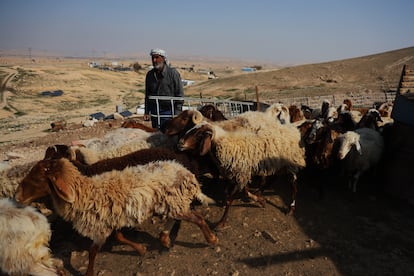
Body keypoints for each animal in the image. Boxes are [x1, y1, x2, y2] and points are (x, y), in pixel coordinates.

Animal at [18, 157, 220, 276]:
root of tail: (186, 172)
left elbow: (92, 252)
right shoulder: (112, 221)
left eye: (37, 178)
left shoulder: (100, 228)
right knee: (177, 217)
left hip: (174, 201)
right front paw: (140, 249)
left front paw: (89, 273)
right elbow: (120, 236)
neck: (84, 194)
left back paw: (211, 238)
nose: (18, 196)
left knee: (197, 218)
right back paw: (164, 237)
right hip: (171, 202)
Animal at [176, 120, 306, 226]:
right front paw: (260, 200)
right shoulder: (241, 174)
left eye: (199, 134)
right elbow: (244, 191)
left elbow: (231, 198)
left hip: (291, 164)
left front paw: (221, 222)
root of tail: (294, 130)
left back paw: (291, 208)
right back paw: (260, 192)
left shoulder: (241, 174)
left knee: (293, 185)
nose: (180, 143)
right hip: (279, 165)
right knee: (273, 179)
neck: (227, 145)